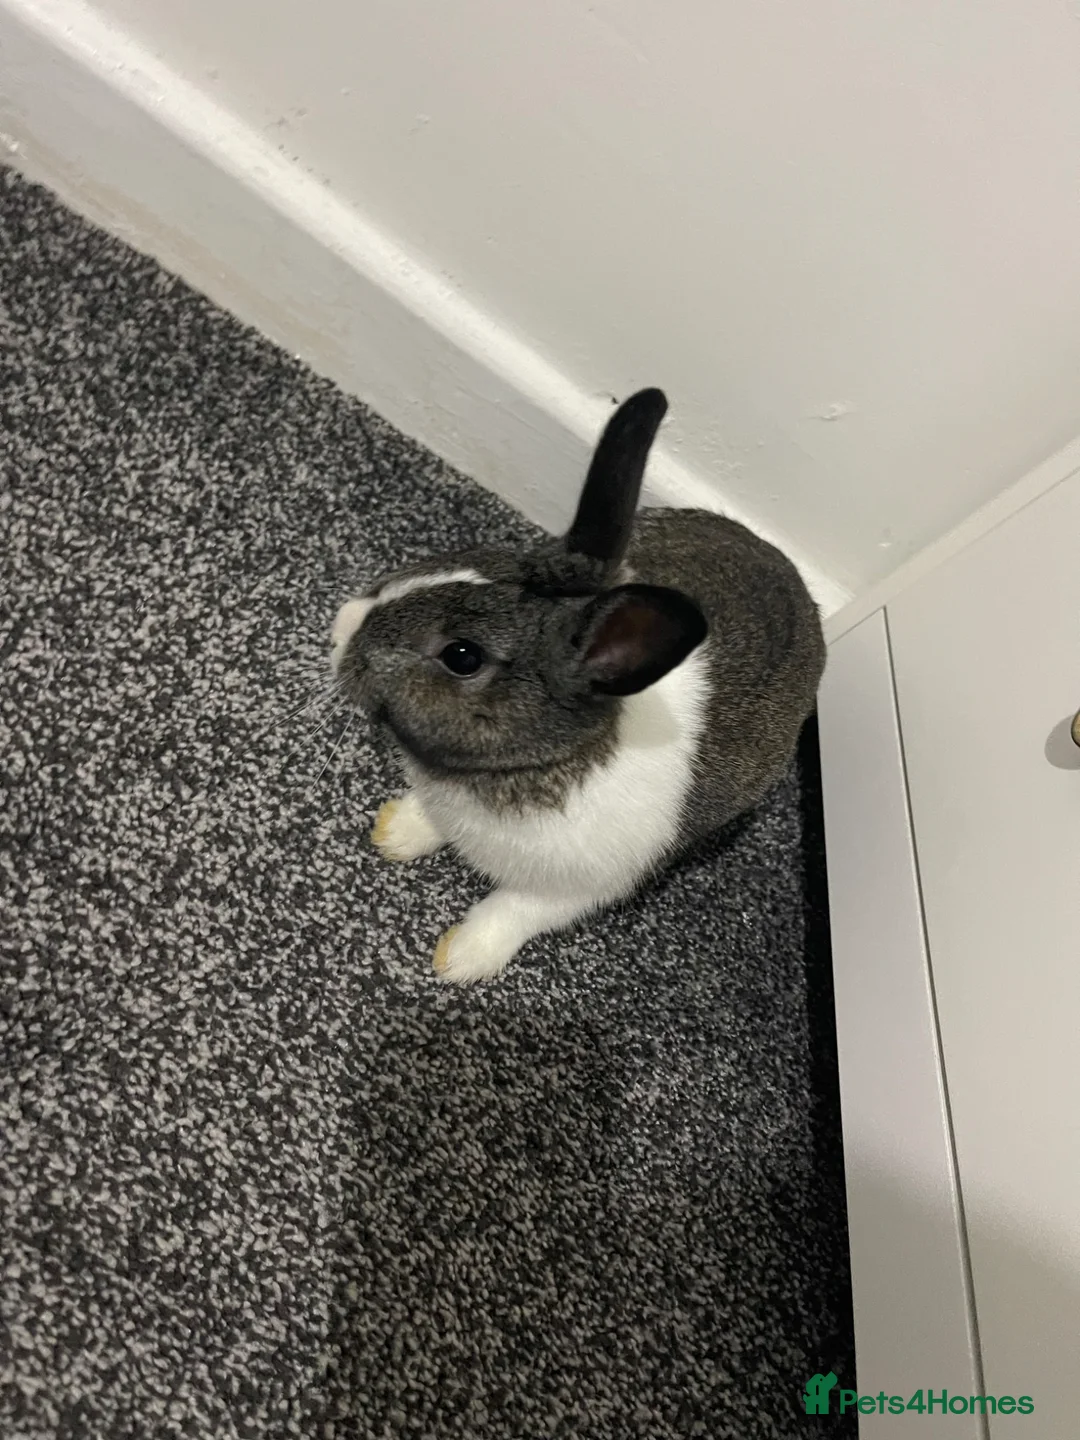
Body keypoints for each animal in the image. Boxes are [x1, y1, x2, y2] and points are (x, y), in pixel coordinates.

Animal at [330, 388, 825, 984]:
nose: (342, 622)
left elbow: (507, 912)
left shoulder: (575, 890)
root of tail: (796, 578)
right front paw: (395, 832)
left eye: (462, 657)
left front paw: (458, 960)